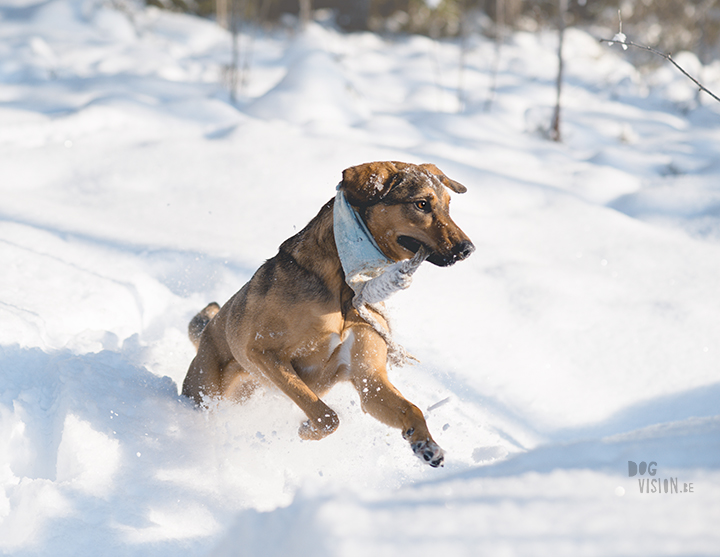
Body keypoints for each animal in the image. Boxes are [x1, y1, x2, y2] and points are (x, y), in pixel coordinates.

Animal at [180, 161, 472, 464]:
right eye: (422, 204)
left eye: (448, 205)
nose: (468, 249)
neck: (344, 290)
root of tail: (208, 330)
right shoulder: (262, 352)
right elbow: (326, 415)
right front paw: (305, 428)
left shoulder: (369, 376)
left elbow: (410, 408)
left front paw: (426, 444)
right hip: (205, 389)